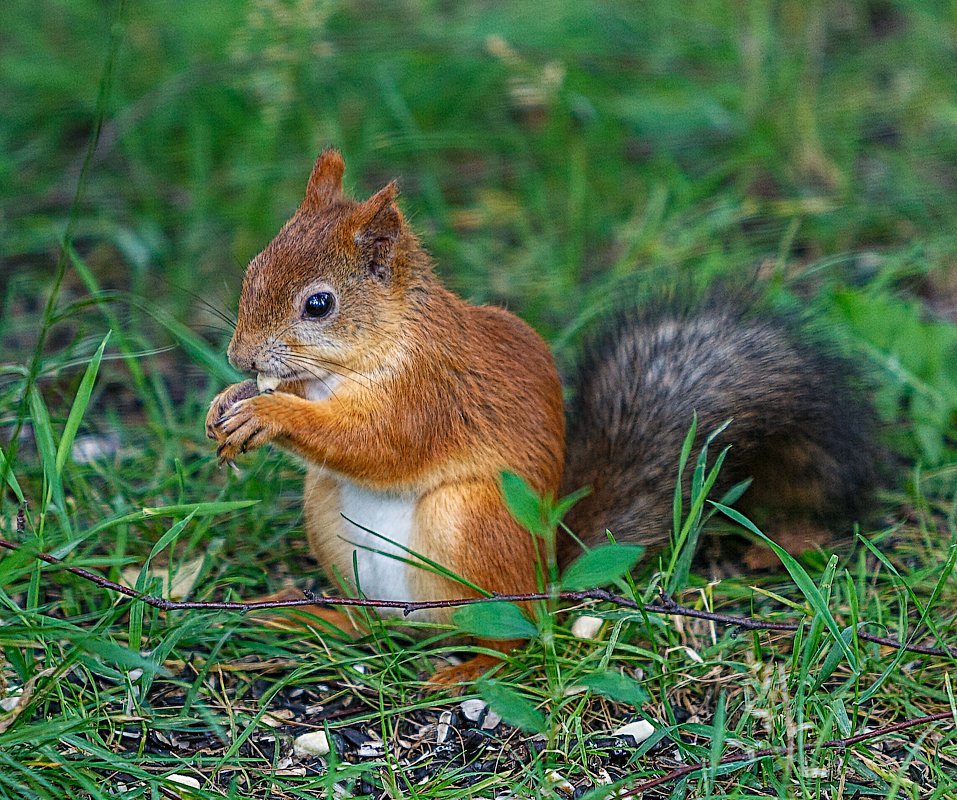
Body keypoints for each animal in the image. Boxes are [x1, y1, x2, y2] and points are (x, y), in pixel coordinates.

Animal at [205, 150, 876, 680]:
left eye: (318, 304)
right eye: (253, 269)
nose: (240, 355)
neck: (359, 359)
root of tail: (547, 571)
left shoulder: (430, 393)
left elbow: (378, 444)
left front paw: (269, 412)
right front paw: (228, 402)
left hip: (470, 520)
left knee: (516, 634)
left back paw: (471, 667)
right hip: (330, 516)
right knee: (374, 628)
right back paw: (315, 618)